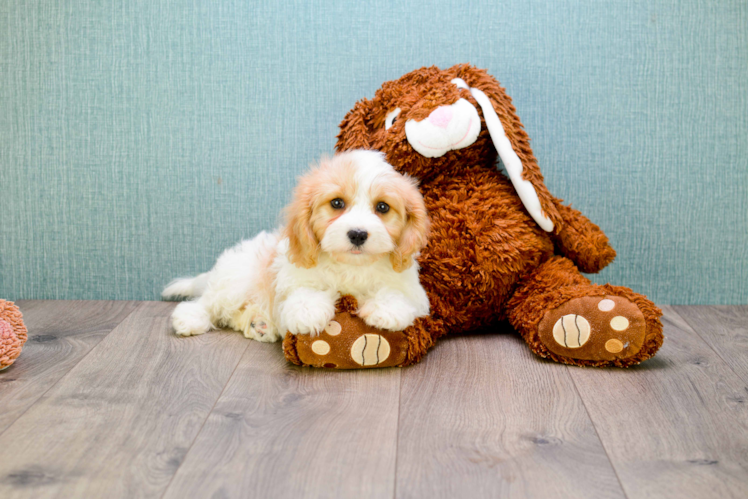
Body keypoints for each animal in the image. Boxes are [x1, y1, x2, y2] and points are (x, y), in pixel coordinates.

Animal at [164, 150, 432, 342]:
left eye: (383, 207)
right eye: (337, 203)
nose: (357, 234)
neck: (351, 266)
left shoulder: (411, 290)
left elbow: (396, 292)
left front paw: (387, 309)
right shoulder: (293, 277)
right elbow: (304, 292)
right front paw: (308, 311)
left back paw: (259, 325)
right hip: (236, 279)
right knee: (209, 302)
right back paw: (191, 318)